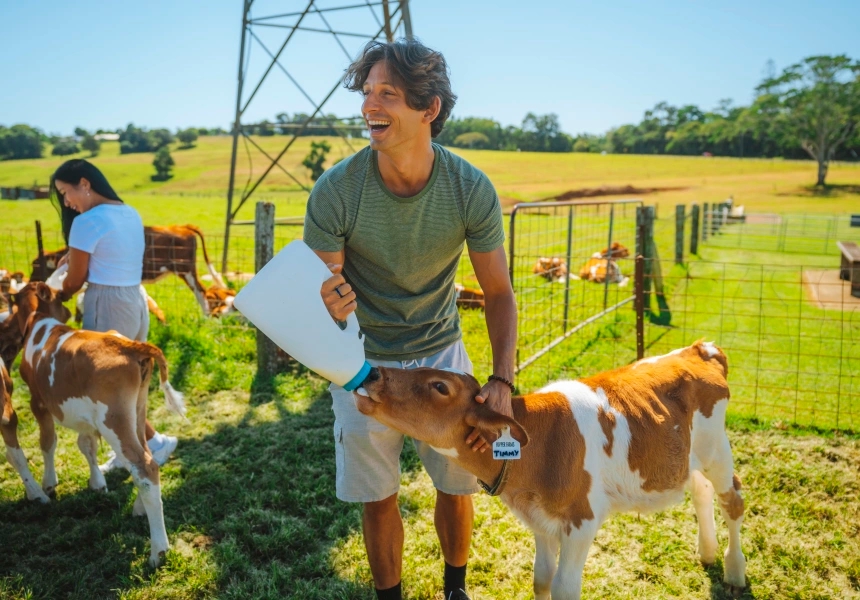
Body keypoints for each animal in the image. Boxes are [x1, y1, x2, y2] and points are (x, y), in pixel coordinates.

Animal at [10, 282, 186, 568]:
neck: (40, 323)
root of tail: (130, 345)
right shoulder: (86, 416)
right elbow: (87, 445)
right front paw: (97, 482)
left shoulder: (38, 401)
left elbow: (47, 442)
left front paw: (49, 483)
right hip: (136, 412)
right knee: (148, 459)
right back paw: (140, 508)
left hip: (113, 420)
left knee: (144, 466)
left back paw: (158, 550)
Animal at [356, 342, 744, 600]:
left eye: (440, 386)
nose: (373, 372)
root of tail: (699, 349)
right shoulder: (539, 520)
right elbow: (541, 579)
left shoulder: (582, 520)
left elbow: (563, 588)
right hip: (689, 457)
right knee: (701, 491)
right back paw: (707, 550)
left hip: (717, 449)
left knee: (733, 499)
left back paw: (734, 570)